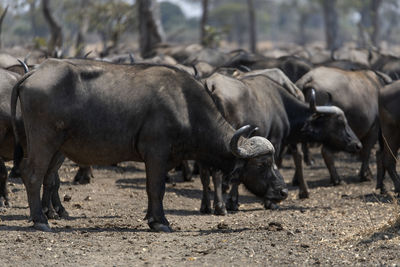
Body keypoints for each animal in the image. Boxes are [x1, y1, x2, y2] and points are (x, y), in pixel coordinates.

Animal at [11, 58, 288, 232]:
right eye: (262, 164)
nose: (283, 192)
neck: (186, 106)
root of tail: (33, 72)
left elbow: (150, 189)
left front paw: (150, 217)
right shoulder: (156, 153)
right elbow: (157, 188)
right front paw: (160, 221)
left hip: (56, 147)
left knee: (45, 177)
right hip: (44, 141)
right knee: (32, 174)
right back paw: (40, 220)